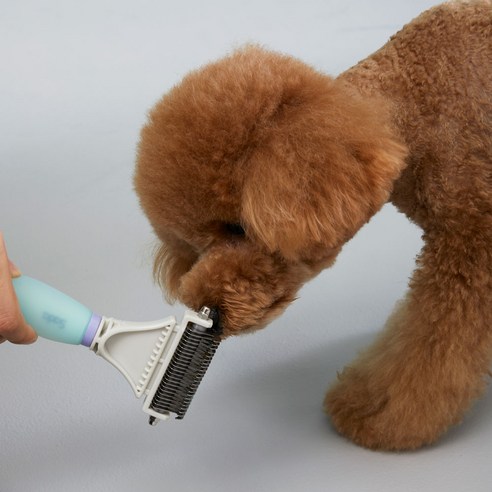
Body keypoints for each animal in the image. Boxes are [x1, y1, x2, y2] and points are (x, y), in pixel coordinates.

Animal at [135, 1, 492, 452]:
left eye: (239, 228)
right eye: (195, 249)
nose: (209, 311)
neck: (419, 100)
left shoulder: (471, 245)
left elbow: (435, 342)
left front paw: (377, 416)